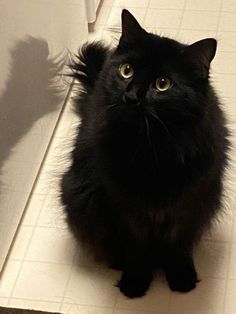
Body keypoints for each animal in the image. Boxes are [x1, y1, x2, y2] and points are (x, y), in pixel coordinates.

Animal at [60, 9, 229, 296]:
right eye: (126, 71)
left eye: (163, 84)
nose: (131, 97)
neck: (151, 149)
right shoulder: (124, 207)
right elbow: (137, 248)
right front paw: (135, 282)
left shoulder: (188, 205)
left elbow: (178, 246)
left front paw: (181, 278)